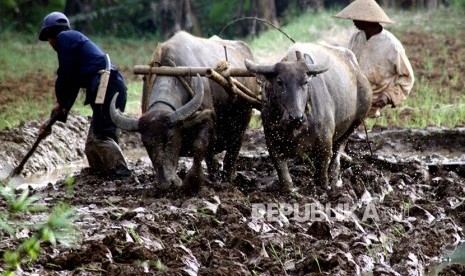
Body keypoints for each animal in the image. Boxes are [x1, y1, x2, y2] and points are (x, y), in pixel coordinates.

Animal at [111, 29, 260, 190]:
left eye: (170, 137)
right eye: (145, 142)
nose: (166, 183)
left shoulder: (208, 121)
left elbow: (199, 146)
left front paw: (193, 180)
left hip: (242, 125)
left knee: (231, 155)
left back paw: (227, 180)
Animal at [245, 42, 372, 194]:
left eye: (305, 82)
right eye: (279, 82)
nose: (296, 117)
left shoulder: (325, 143)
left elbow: (322, 171)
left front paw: (324, 187)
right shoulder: (272, 142)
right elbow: (282, 171)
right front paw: (289, 190)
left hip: (358, 119)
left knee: (339, 148)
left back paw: (335, 177)